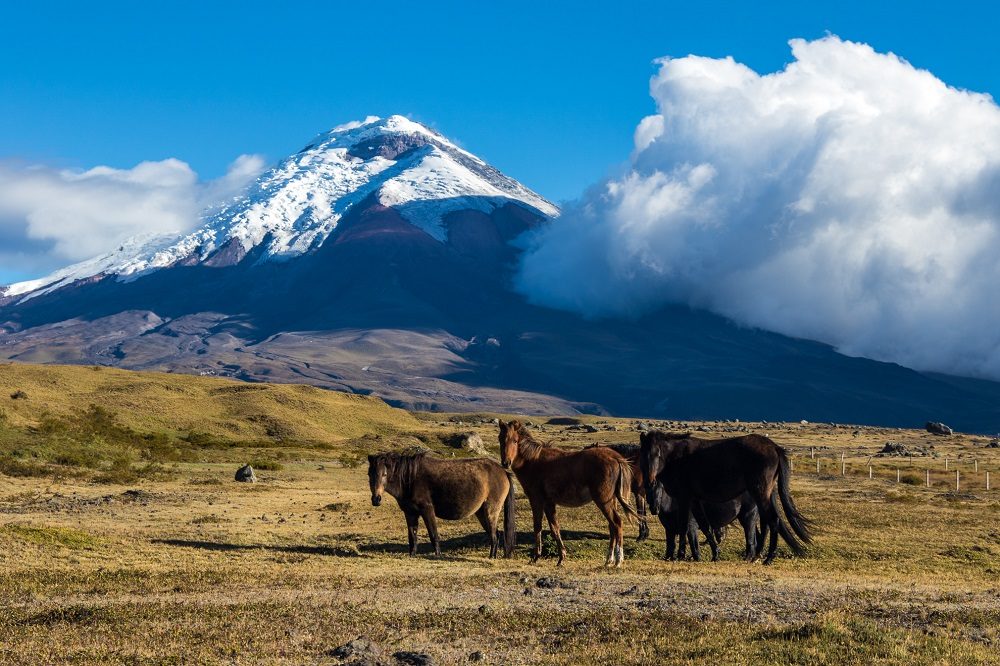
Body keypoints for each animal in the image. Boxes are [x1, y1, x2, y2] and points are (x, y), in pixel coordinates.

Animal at [368, 452, 516, 556]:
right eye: (369, 474)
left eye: (384, 474)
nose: (376, 499)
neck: (410, 479)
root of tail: (503, 471)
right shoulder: (410, 513)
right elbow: (412, 536)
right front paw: (412, 555)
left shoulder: (427, 510)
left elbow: (434, 535)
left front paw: (437, 555)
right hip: (481, 513)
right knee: (495, 535)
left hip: (491, 511)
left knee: (494, 536)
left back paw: (491, 557)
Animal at [498, 420, 636, 564]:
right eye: (500, 439)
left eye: (515, 440)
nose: (506, 463)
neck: (532, 461)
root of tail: (616, 458)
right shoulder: (549, 503)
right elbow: (554, 528)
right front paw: (561, 558)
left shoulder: (536, 500)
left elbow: (538, 526)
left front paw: (536, 557)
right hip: (611, 500)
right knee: (612, 527)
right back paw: (609, 561)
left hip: (603, 501)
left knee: (617, 523)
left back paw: (618, 561)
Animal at [640, 430, 812, 560]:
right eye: (644, 455)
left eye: (658, 454)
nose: (650, 481)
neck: (676, 458)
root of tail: (774, 447)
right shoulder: (694, 500)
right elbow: (705, 526)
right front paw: (714, 554)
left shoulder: (684, 498)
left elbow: (684, 525)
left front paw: (681, 555)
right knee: (766, 522)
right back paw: (756, 556)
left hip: (760, 493)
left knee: (772, 520)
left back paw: (767, 558)